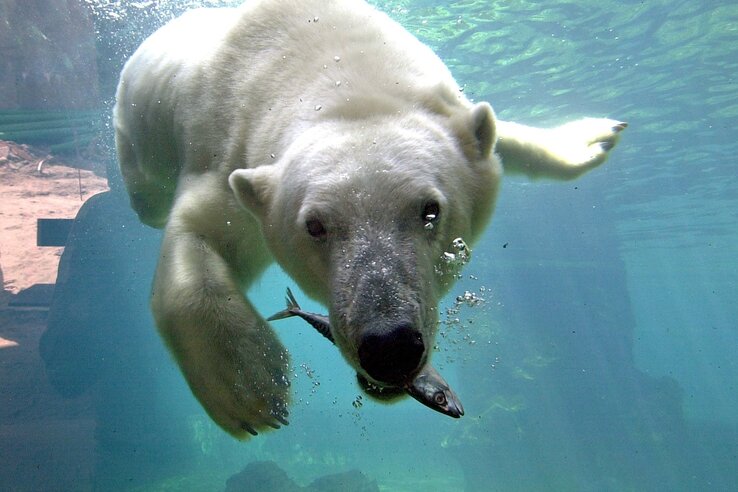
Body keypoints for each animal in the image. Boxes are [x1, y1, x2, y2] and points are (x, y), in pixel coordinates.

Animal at [114, 0, 625, 439]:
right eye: (315, 226)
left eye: (430, 210)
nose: (390, 347)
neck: (333, 68)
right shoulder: (227, 155)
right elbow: (198, 233)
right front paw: (250, 387)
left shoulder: (444, 108)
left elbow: (492, 138)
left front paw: (593, 138)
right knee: (149, 198)